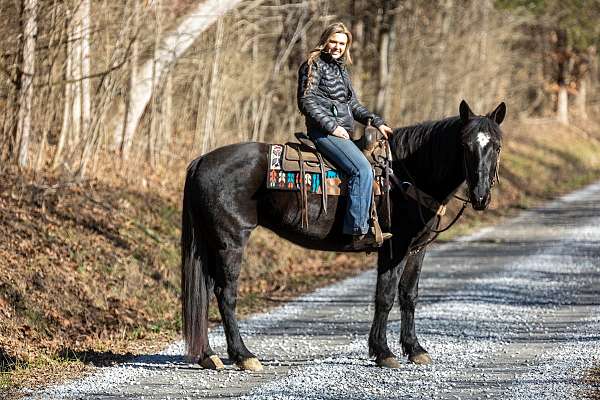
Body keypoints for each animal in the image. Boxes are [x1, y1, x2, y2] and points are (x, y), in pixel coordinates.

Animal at [182, 101, 506, 372]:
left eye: (497, 146)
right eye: (464, 144)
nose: (480, 197)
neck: (406, 174)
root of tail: (201, 161)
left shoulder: (417, 248)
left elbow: (408, 295)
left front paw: (415, 349)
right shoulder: (395, 248)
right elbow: (385, 296)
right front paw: (383, 352)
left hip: (212, 243)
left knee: (206, 293)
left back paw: (209, 356)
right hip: (231, 242)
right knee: (225, 294)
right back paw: (244, 356)